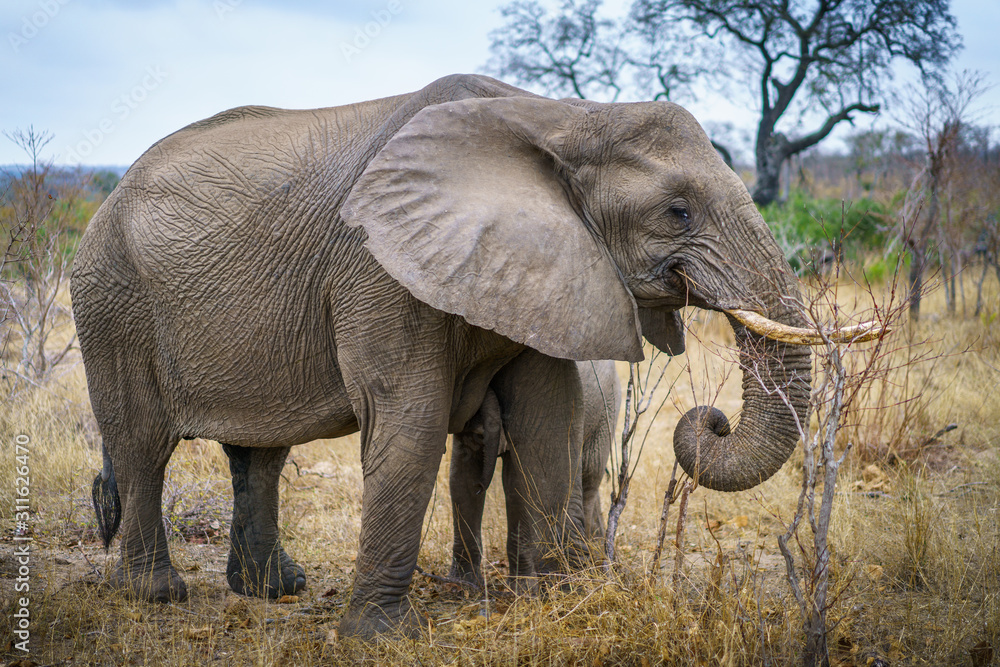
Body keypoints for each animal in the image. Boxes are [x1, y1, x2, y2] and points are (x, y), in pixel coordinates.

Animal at [449, 351, 620, 588]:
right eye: (477, 435)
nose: (480, 486)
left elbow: (518, 486)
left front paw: (523, 588)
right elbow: (460, 479)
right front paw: (464, 585)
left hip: (605, 411)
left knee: (588, 477)